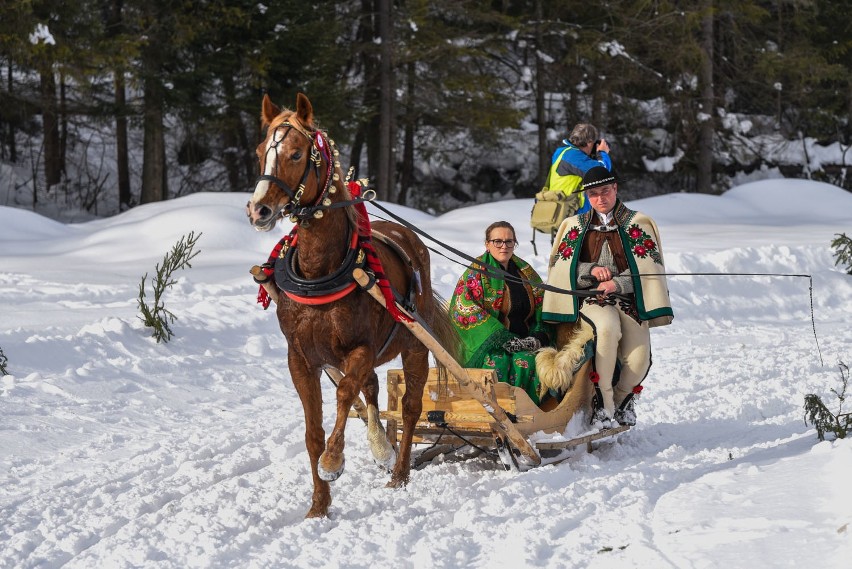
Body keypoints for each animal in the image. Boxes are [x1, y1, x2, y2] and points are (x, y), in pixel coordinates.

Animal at [246, 94, 460, 520]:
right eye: (261, 151)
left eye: (296, 153)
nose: (258, 209)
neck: (322, 270)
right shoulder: (300, 358)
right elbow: (313, 431)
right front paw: (318, 505)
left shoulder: (360, 349)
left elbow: (345, 395)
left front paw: (333, 462)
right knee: (374, 389)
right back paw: (383, 449)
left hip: (414, 345)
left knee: (409, 407)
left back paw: (398, 472)